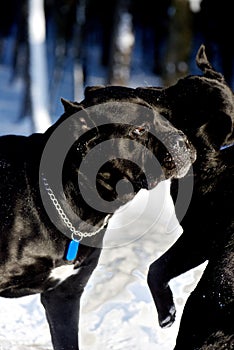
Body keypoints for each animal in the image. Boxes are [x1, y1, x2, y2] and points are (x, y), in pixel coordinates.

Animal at [143, 45, 234, 348]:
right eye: (177, 85)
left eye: (174, 100)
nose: (144, 89)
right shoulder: (201, 243)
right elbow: (158, 268)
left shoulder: (200, 238)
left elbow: (156, 268)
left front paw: (166, 312)